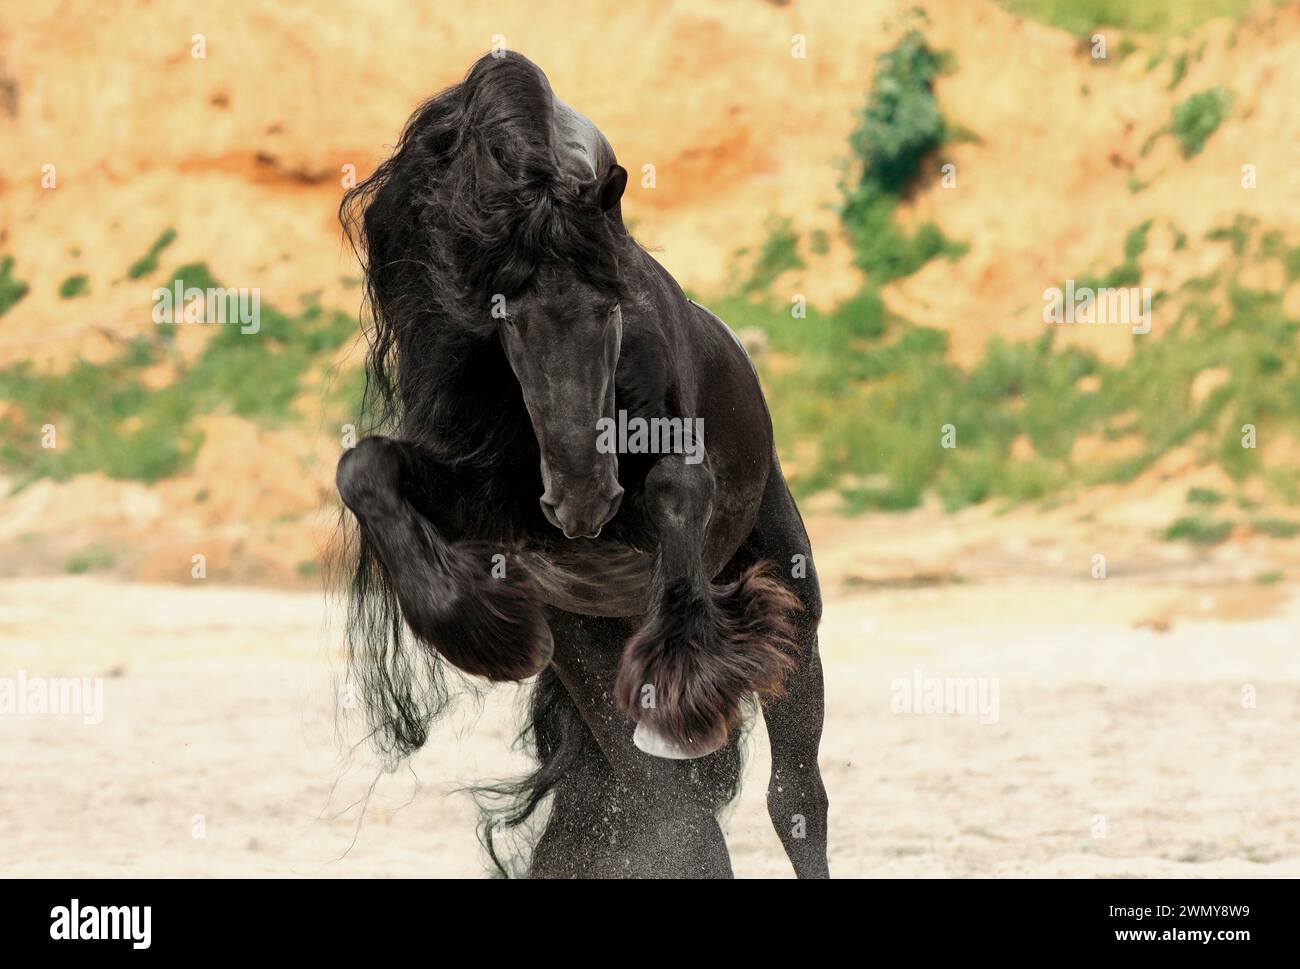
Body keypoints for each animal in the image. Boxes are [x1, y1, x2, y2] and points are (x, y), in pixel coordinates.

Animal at [332, 51, 821, 879]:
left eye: (612, 304)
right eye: (504, 317)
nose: (583, 502)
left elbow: (677, 489)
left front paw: (685, 672)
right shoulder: (491, 498)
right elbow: (366, 469)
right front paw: (488, 637)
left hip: (797, 616)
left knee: (796, 798)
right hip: (593, 661)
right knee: (679, 820)